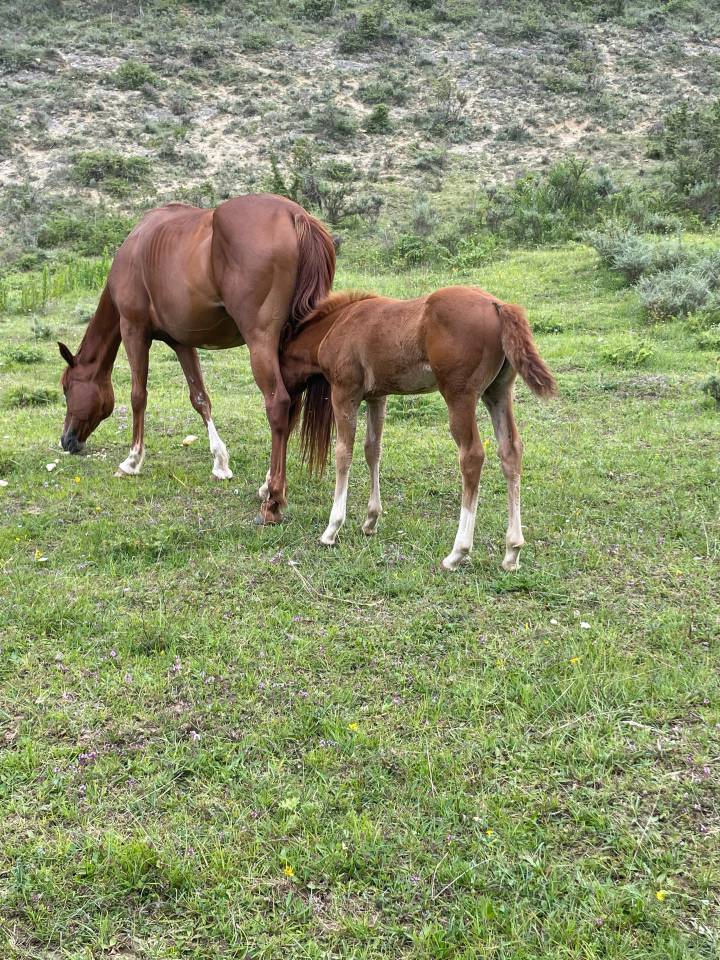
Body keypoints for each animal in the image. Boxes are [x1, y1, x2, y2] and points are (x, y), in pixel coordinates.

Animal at [57, 193, 335, 523]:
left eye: (67, 388)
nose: (66, 440)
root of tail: (295, 215)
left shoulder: (133, 330)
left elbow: (138, 395)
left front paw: (133, 460)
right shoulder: (182, 343)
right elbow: (200, 398)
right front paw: (220, 463)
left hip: (260, 341)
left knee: (278, 404)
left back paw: (273, 502)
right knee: (290, 407)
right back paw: (267, 487)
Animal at [280, 286, 556, 571]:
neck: (338, 324)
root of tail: (497, 305)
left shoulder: (345, 393)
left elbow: (343, 454)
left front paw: (332, 528)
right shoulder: (377, 397)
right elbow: (372, 450)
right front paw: (371, 520)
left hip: (460, 396)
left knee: (472, 457)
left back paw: (457, 552)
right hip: (498, 392)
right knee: (510, 451)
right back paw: (512, 551)